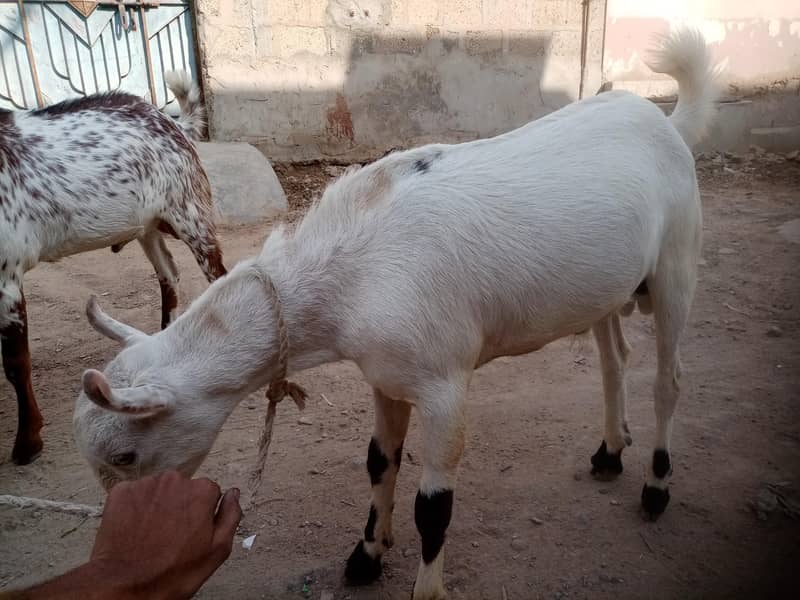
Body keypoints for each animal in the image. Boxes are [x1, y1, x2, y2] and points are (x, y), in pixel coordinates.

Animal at [0, 73, 227, 465]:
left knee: (216, 271)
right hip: (148, 228)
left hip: (189, 213)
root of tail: (170, 120)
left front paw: (27, 442)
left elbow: (15, 362)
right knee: (169, 273)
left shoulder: (7, 276)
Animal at [74, 29, 718, 600]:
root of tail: (665, 122)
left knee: (669, 377)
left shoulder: (444, 385)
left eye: (125, 456)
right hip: (607, 286)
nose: (124, 532)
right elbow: (379, 462)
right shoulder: (384, 376)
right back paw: (610, 452)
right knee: (615, 360)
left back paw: (656, 484)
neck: (351, 272)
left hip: (677, 260)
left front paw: (424, 588)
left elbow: (433, 507)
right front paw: (366, 555)